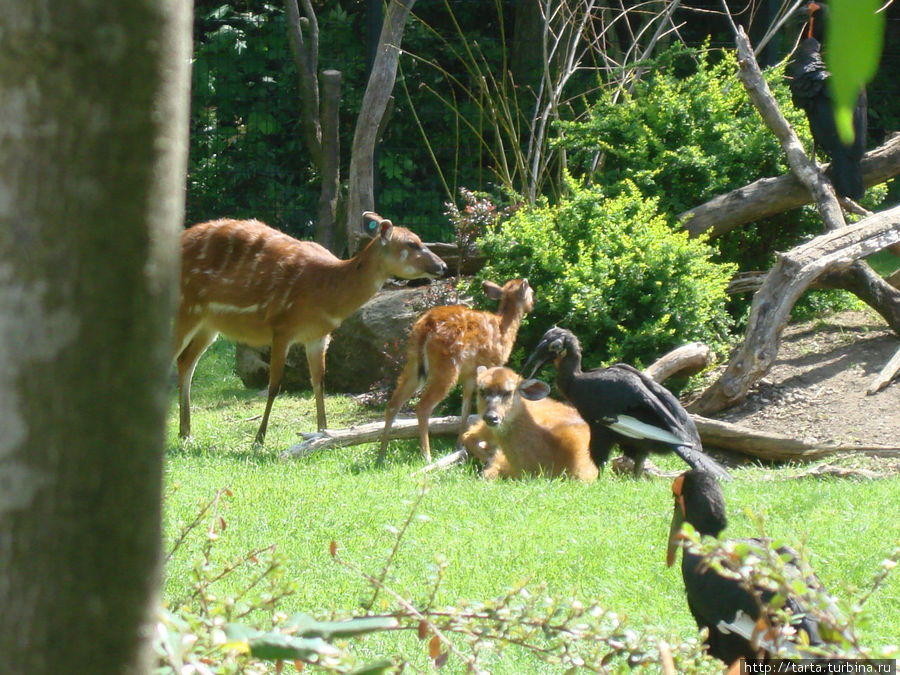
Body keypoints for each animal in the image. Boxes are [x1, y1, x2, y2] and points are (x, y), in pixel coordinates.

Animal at [174, 211, 448, 444]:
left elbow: (319, 383)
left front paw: (323, 432)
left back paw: (186, 432)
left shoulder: (318, 335)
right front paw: (259, 439)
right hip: (185, 309)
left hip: (209, 324)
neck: (324, 290)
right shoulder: (282, 327)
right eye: (412, 243)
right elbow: (274, 384)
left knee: (185, 362)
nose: (443, 266)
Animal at [374, 278, 532, 464]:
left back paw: (381, 455)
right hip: (447, 365)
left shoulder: (470, 373)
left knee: (394, 404)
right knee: (423, 406)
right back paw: (427, 456)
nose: (533, 303)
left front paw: (459, 444)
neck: (504, 329)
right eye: (532, 292)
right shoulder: (489, 365)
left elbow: (465, 408)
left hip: (413, 363)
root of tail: (426, 327)